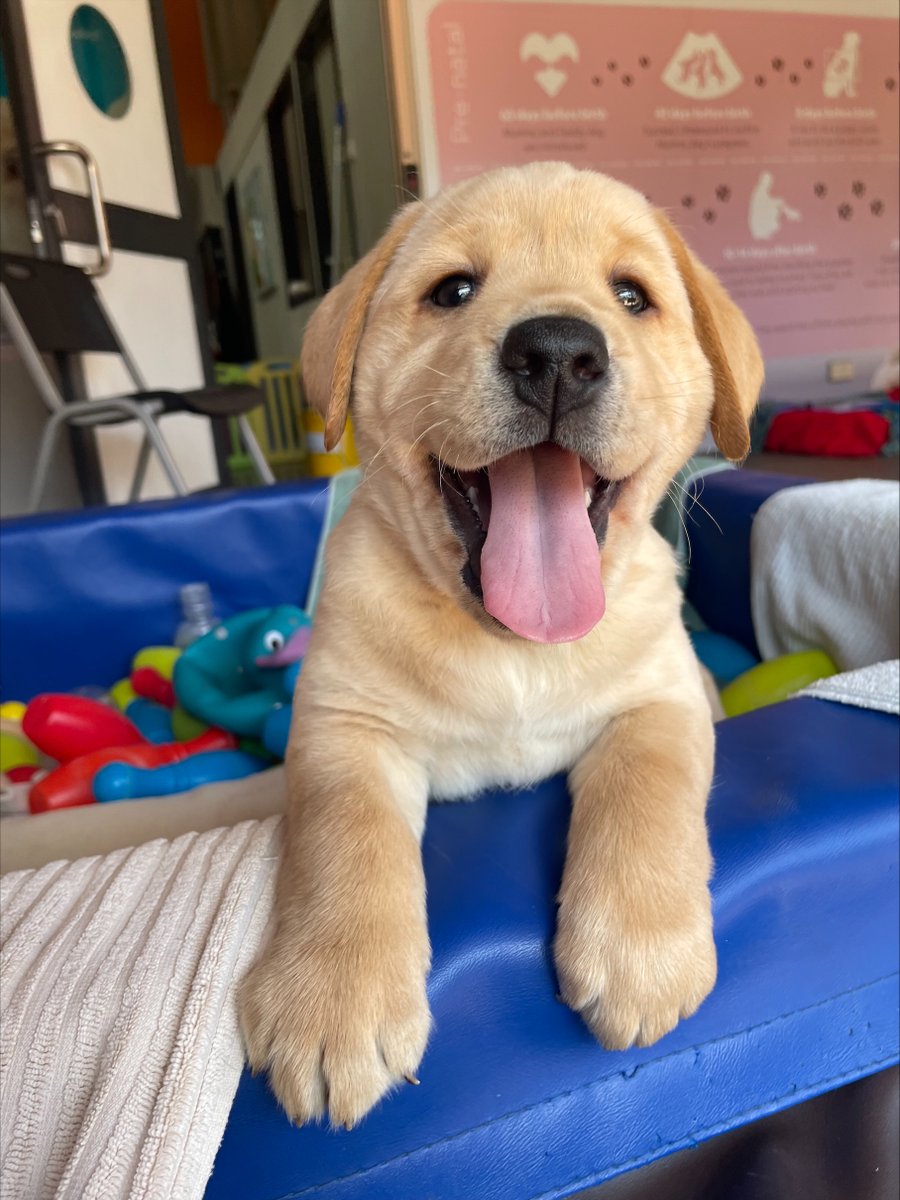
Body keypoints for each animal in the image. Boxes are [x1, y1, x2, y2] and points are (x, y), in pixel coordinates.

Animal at [240, 164, 763, 1128]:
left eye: (631, 296)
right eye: (453, 291)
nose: (557, 352)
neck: (515, 645)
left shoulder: (661, 698)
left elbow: (648, 790)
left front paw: (641, 952)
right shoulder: (344, 726)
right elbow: (342, 835)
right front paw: (332, 1001)